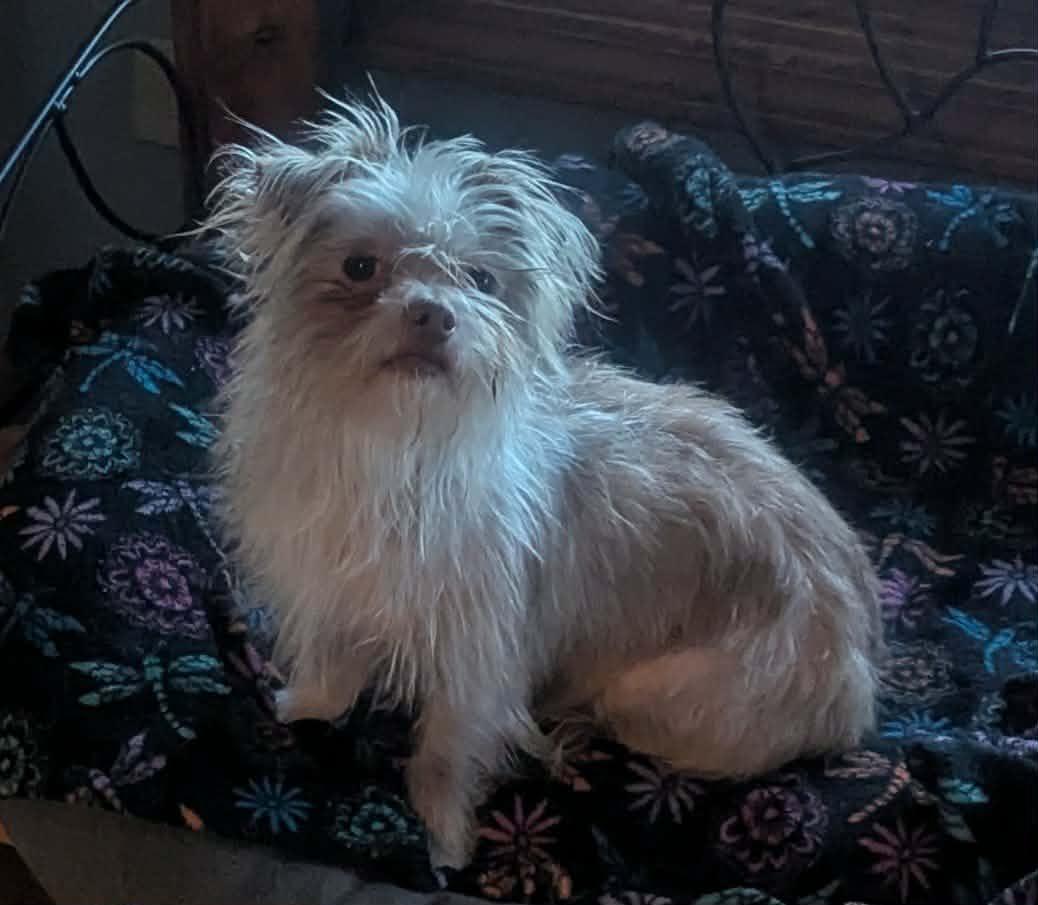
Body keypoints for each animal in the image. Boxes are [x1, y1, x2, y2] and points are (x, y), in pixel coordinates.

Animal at [205, 96, 883, 870]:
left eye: (482, 281)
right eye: (358, 266)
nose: (433, 312)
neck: (395, 444)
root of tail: (866, 677)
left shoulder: (477, 655)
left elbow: (445, 749)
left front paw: (445, 839)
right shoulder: (332, 597)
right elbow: (332, 675)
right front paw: (298, 707)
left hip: (653, 695)